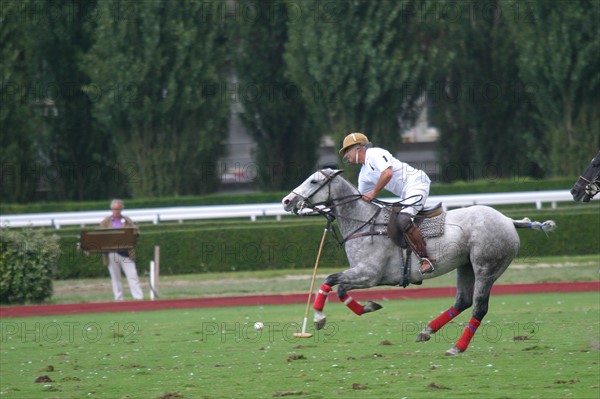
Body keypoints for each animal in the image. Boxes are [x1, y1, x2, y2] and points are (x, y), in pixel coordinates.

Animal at [282, 169, 556, 356]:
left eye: (314, 181)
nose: (286, 201)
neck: (364, 223)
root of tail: (509, 220)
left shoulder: (370, 274)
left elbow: (329, 280)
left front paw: (318, 319)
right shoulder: (364, 275)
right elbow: (340, 289)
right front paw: (368, 306)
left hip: (486, 267)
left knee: (479, 307)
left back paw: (456, 347)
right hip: (465, 266)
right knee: (463, 301)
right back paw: (426, 332)